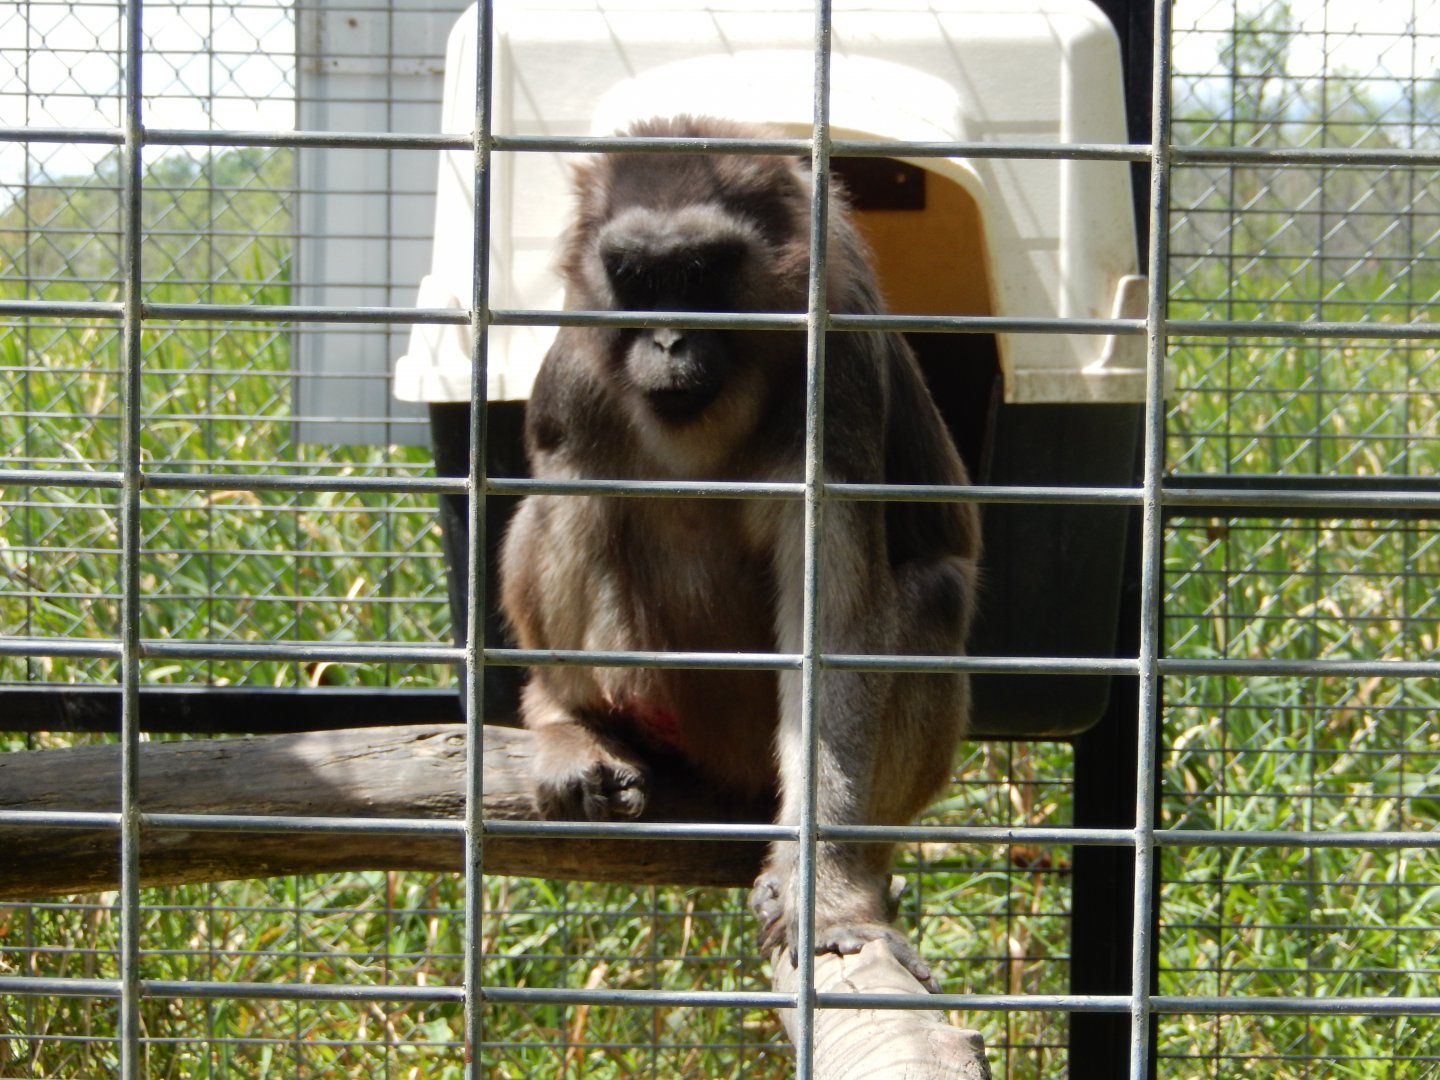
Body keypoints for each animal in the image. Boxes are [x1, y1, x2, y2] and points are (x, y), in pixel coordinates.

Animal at [499, 116, 979, 989]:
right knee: (574, 489)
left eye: (697, 272)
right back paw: (574, 719)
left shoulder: (837, 379)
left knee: (934, 591)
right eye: (636, 276)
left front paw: (833, 893)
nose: (666, 339)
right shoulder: (577, 363)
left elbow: (841, 635)